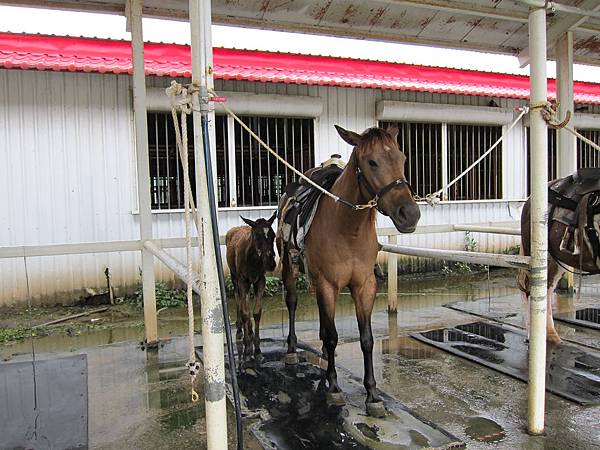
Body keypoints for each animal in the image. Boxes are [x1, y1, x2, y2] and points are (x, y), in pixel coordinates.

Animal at [226, 213, 278, 360]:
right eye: (257, 236)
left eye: (273, 235)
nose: (271, 264)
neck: (254, 260)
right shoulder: (242, 281)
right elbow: (245, 312)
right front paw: (247, 345)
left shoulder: (260, 281)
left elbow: (256, 312)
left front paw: (258, 349)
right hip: (234, 277)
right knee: (238, 299)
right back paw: (240, 331)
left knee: (247, 303)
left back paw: (249, 331)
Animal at [278, 125, 420, 416]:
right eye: (372, 162)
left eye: (402, 158)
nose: (409, 214)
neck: (348, 229)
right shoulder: (327, 284)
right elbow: (333, 337)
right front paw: (333, 388)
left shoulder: (364, 285)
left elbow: (366, 339)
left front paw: (372, 394)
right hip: (291, 269)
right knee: (293, 303)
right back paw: (292, 349)